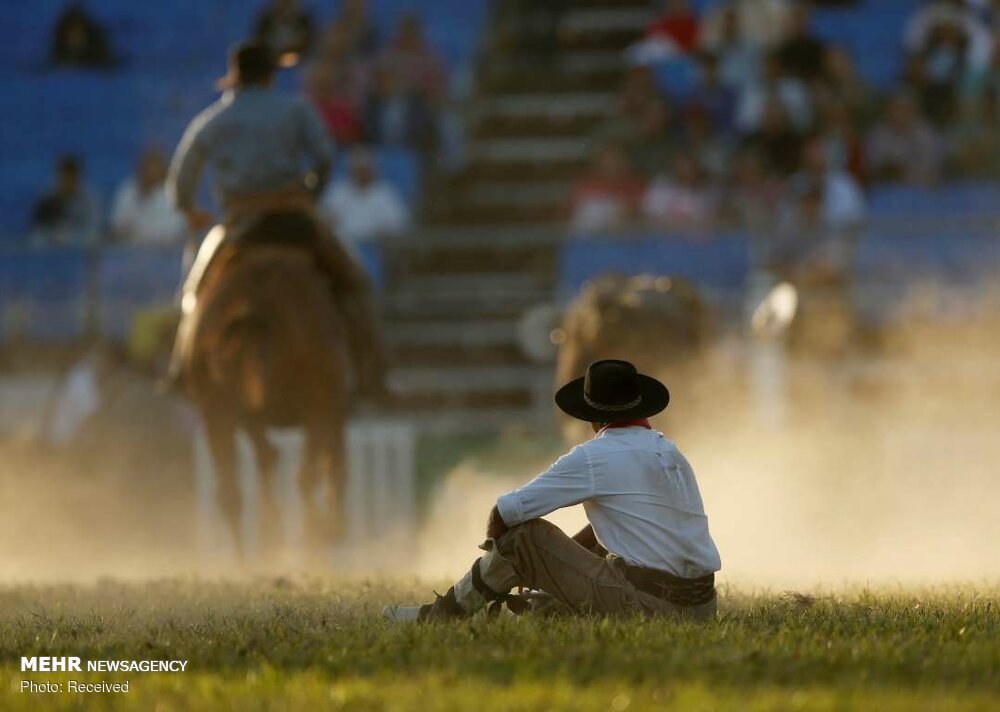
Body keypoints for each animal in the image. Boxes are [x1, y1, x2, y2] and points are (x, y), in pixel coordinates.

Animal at [186, 239, 350, 560]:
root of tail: (253, 303)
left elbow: (267, 460)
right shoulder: (330, 408)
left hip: (216, 411)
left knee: (232, 492)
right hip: (319, 407)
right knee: (306, 476)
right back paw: (315, 536)